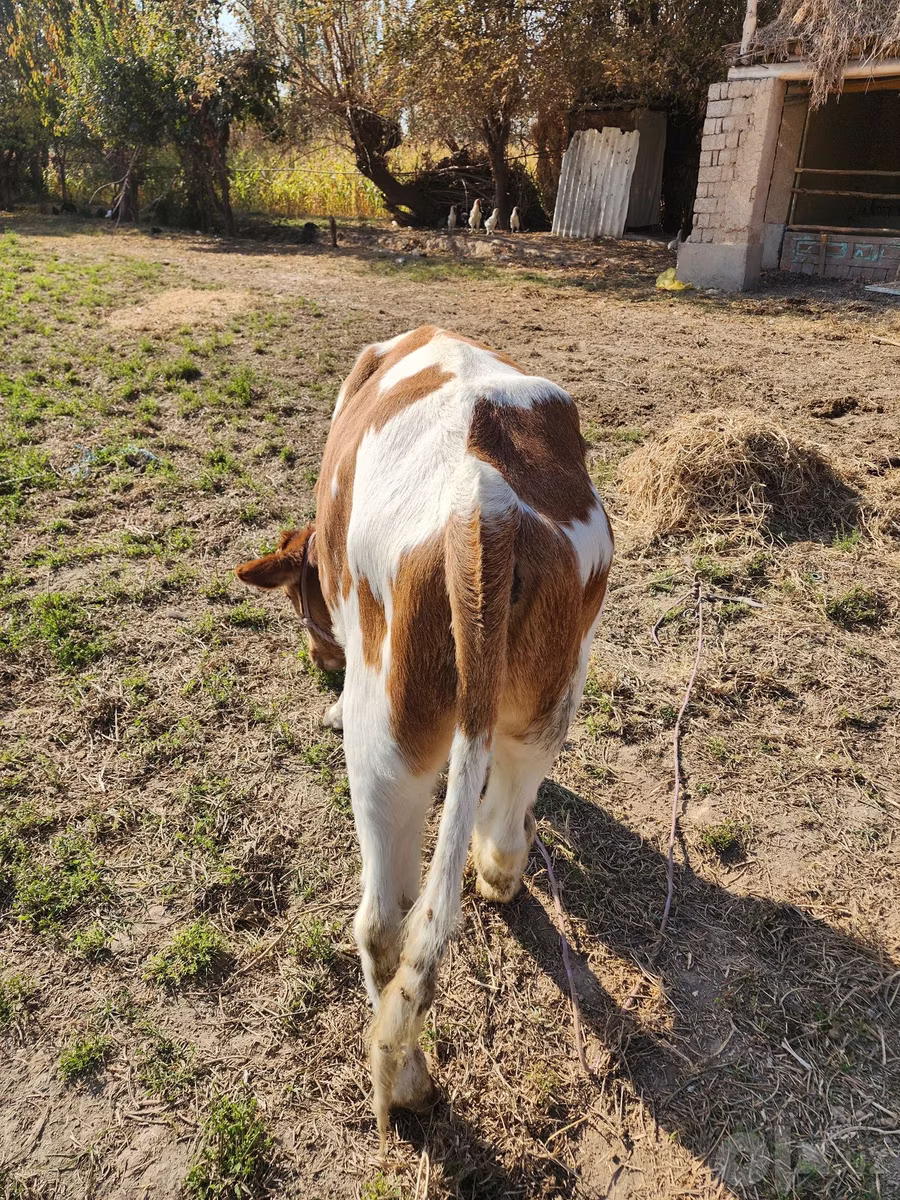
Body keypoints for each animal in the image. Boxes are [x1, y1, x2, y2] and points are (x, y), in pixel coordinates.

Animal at [235, 325, 613, 1151]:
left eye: (300, 599)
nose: (320, 661)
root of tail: (484, 505)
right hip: (544, 692)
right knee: (496, 821)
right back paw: (497, 883)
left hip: (382, 739)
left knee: (383, 920)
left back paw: (405, 1087)